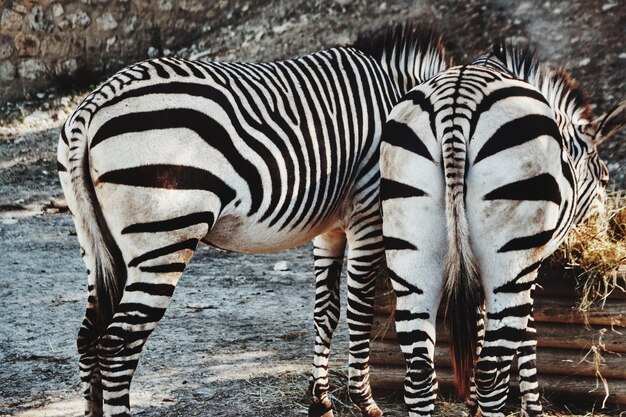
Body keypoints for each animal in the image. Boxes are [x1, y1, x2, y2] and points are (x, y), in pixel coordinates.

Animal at [56, 23, 448, 416]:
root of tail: (95, 101)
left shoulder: (330, 228)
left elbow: (327, 311)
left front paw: (320, 400)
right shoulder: (367, 210)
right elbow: (360, 309)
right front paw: (363, 402)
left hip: (99, 244)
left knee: (88, 336)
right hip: (164, 238)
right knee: (117, 345)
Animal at [378, 39, 620, 416]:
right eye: (605, 179)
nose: (603, 230)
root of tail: (456, 104)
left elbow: (478, 326)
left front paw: (472, 404)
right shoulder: (528, 264)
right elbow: (528, 336)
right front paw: (531, 405)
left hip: (410, 247)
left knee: (419, 373)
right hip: (511, 259)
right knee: (493, 371)